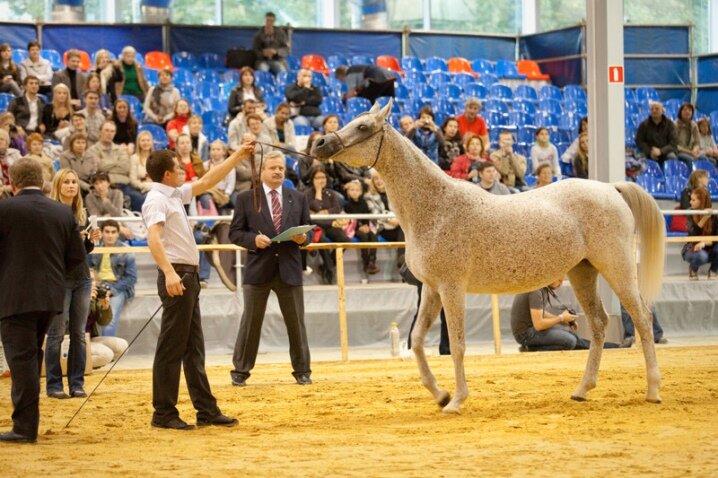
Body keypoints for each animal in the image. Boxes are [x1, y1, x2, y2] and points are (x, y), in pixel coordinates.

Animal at [312, 99, 668, 412]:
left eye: (363, 126)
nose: (320, 143)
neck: (436, 207)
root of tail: (611, 190)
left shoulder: (452, 289)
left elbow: (457, 346)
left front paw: (456, 401)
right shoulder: (431, 289)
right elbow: (417, 340)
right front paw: (440, 394)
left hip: (617, 267)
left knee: (642, 318)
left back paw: (652, 390)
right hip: (583, 272)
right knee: (598, 324)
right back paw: (582, 390)